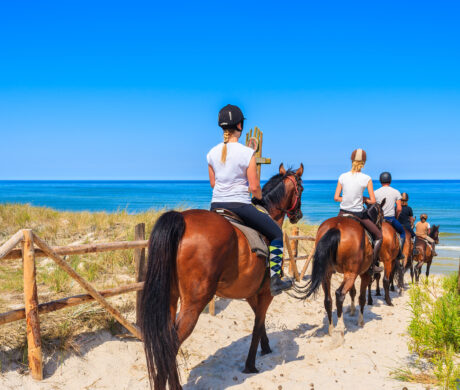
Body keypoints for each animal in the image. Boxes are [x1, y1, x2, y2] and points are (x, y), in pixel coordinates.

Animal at [140, 163, 306, 388]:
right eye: (301, 189)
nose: (298, 215)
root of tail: (182, 220)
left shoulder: (250, 293)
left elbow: (260, 321)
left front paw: (265, 348)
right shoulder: (266, 292)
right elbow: (257, 324)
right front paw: (251, 364)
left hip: (170, 298)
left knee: (165, 341)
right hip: (194, 302)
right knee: (172, 344)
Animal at [292, 200, 386, 334]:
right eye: (382, 216)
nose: (380, 228)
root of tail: (336, 228)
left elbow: (352, 292)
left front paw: (352, 310)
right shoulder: (364, 274)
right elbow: (361, 298)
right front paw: (360, 321)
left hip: (327, 273)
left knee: (328, 299)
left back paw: (331, 328)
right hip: (351, 274)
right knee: (339, 294)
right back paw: (340, 327)